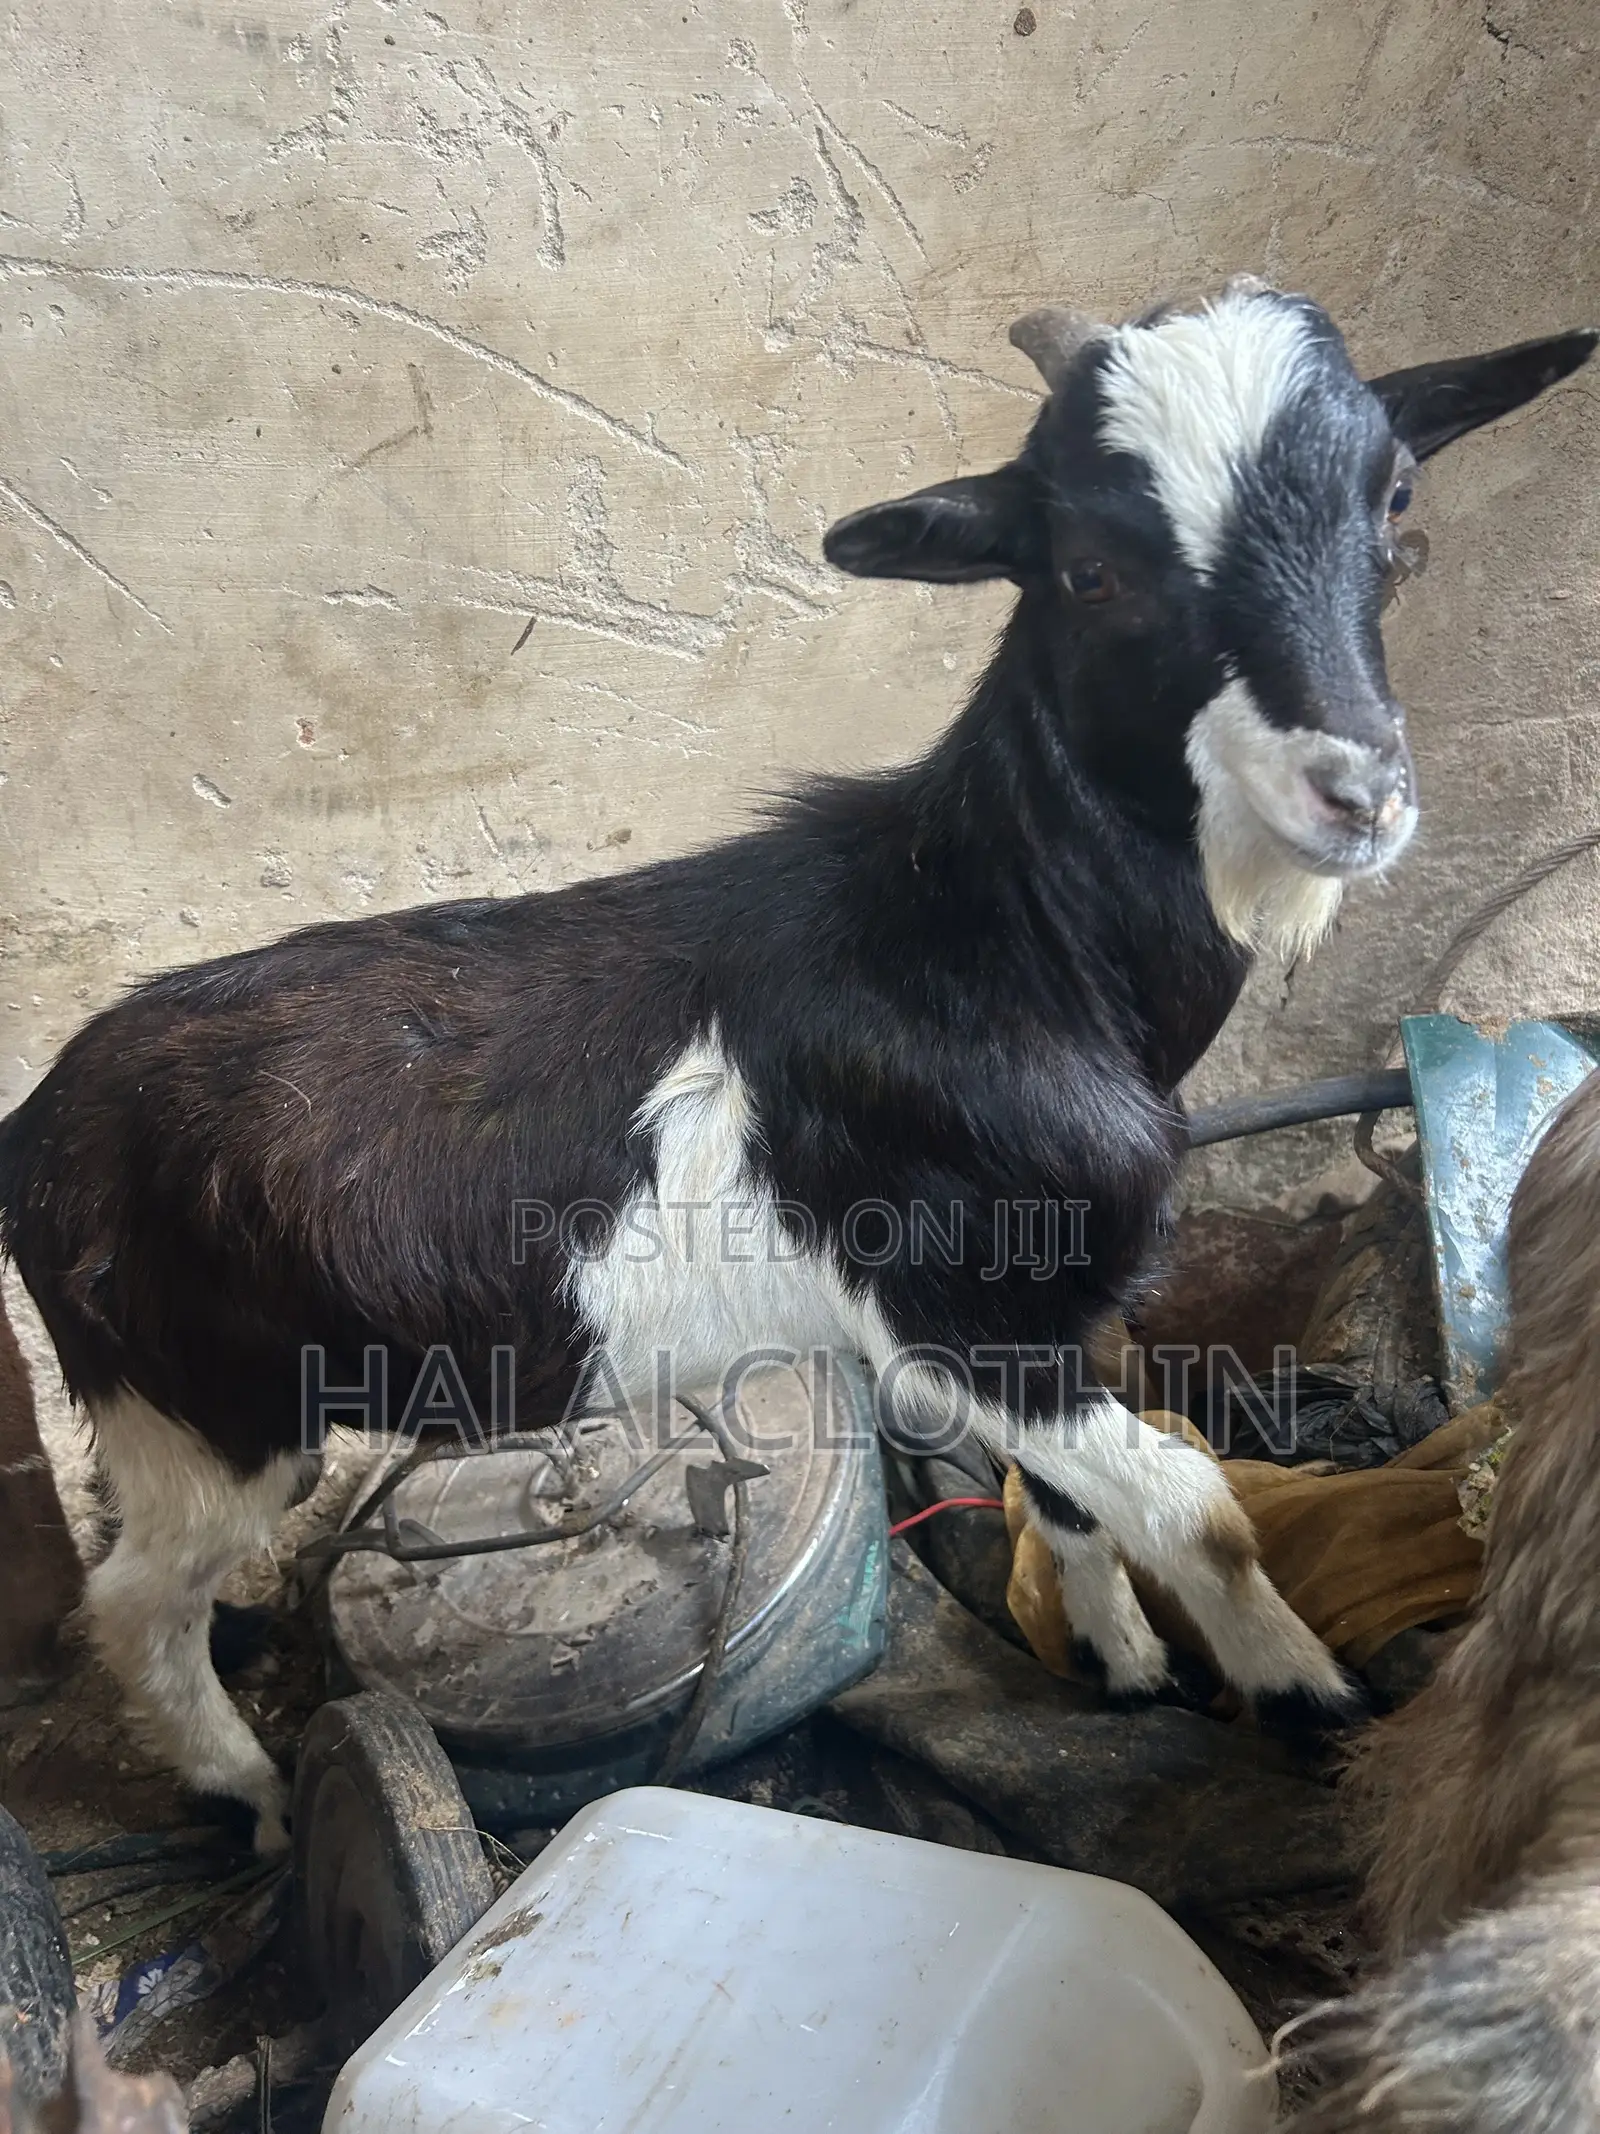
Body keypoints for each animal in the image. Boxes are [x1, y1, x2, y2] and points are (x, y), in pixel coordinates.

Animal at [0, 281, 1591, 1848]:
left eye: (1394, 495)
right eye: (1090, 568)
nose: (1357, 790)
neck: (990, 932)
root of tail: (38, 1130)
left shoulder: (1045, 1313)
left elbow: (1076, 1499)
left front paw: (1122, 1663)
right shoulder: (956, 1309)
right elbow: (1196, 1498)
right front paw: (1307, 1695)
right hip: (205, 1414)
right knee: (131, 1600)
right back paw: (254, 1790)